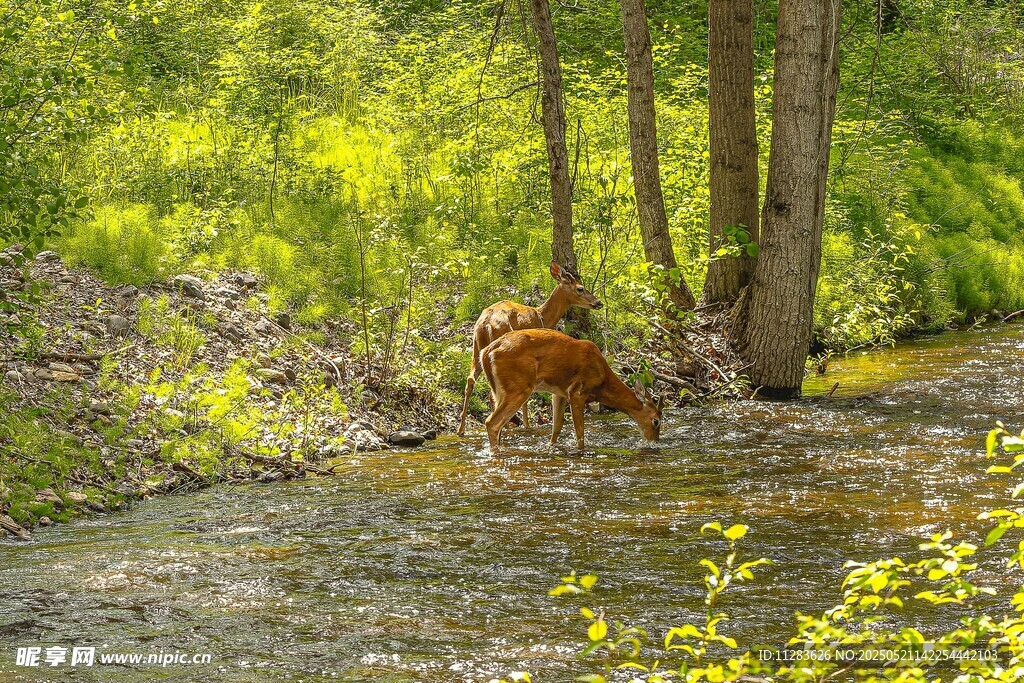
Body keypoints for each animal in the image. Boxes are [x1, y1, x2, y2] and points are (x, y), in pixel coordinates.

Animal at [456, 262, 602, 436]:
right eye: (580, 288)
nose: (599, 302)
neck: (542, 317)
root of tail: (486, 324)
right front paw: (526, 425)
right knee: (495, 394)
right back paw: (504, 428)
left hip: (476, 348)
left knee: (471, 380)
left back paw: (461, 429)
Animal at [479, 328, 663, 451]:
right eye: (656, 421)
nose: (655, 442)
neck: (602, 382)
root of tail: (486, 352)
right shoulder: (577, 391)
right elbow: (580, 433)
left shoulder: (559, 393)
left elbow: (557, 427)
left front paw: (551, 447)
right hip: (519, 387)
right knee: (492, 422)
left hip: (498, 391)